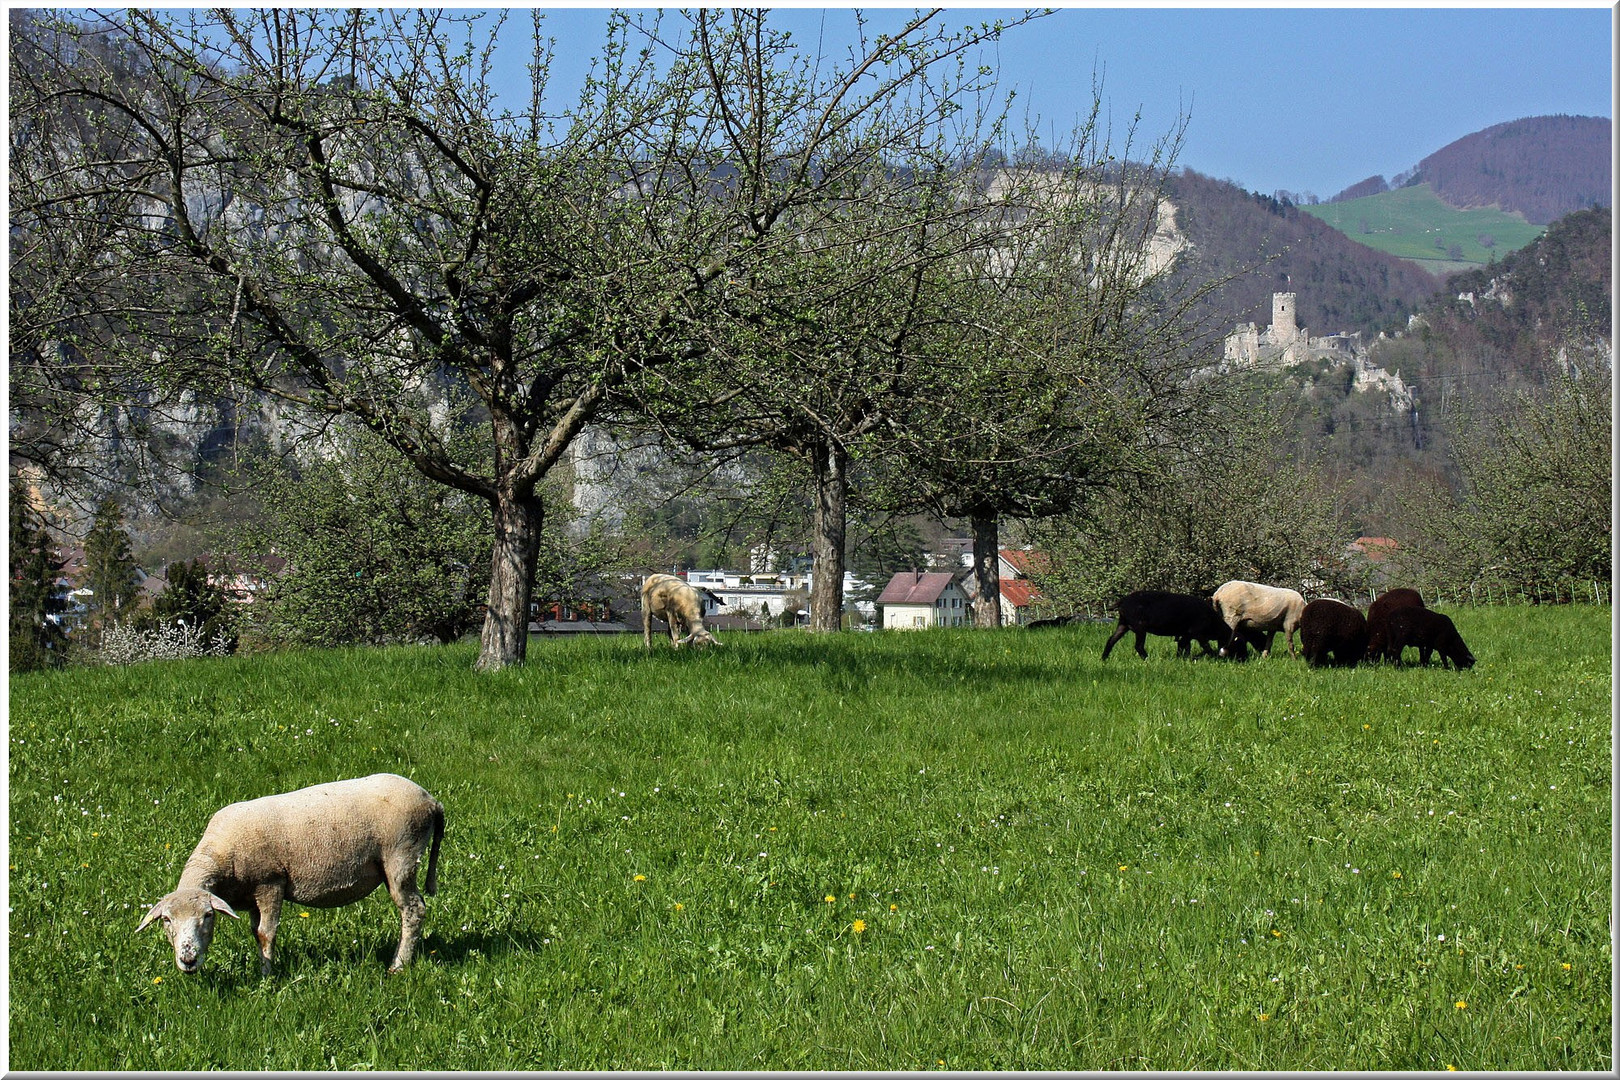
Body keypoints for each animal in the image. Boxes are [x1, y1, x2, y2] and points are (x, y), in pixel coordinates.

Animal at [136, 773, 443, 977]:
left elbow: (266, 933)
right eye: (166, 920)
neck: (221, 854)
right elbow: (255, 932)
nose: (188, 960)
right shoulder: (252, 895)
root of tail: (431, 800)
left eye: (208, 916)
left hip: (401, 857)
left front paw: (267, 977)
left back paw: (398, 965)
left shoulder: (270, 883)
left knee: (413, 911)